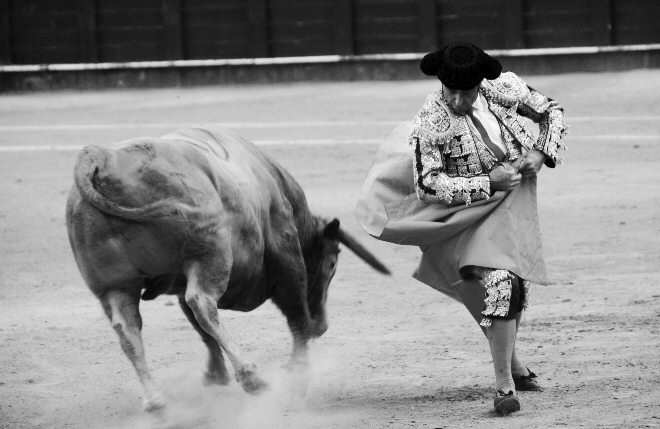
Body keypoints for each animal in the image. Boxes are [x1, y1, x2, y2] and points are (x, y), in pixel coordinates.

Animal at [65, 125, 390, 410]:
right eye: (332, 263)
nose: (321, 326)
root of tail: (101, 156)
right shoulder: (286, 253)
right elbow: (296, 316)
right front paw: (298, 373)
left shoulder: (179, 280)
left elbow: (202, 332)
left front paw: (215, 376)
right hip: (211, 256)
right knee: (202, 303)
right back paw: (252, 378)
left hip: (115, 286)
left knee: (129, 330)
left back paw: (156, 400)